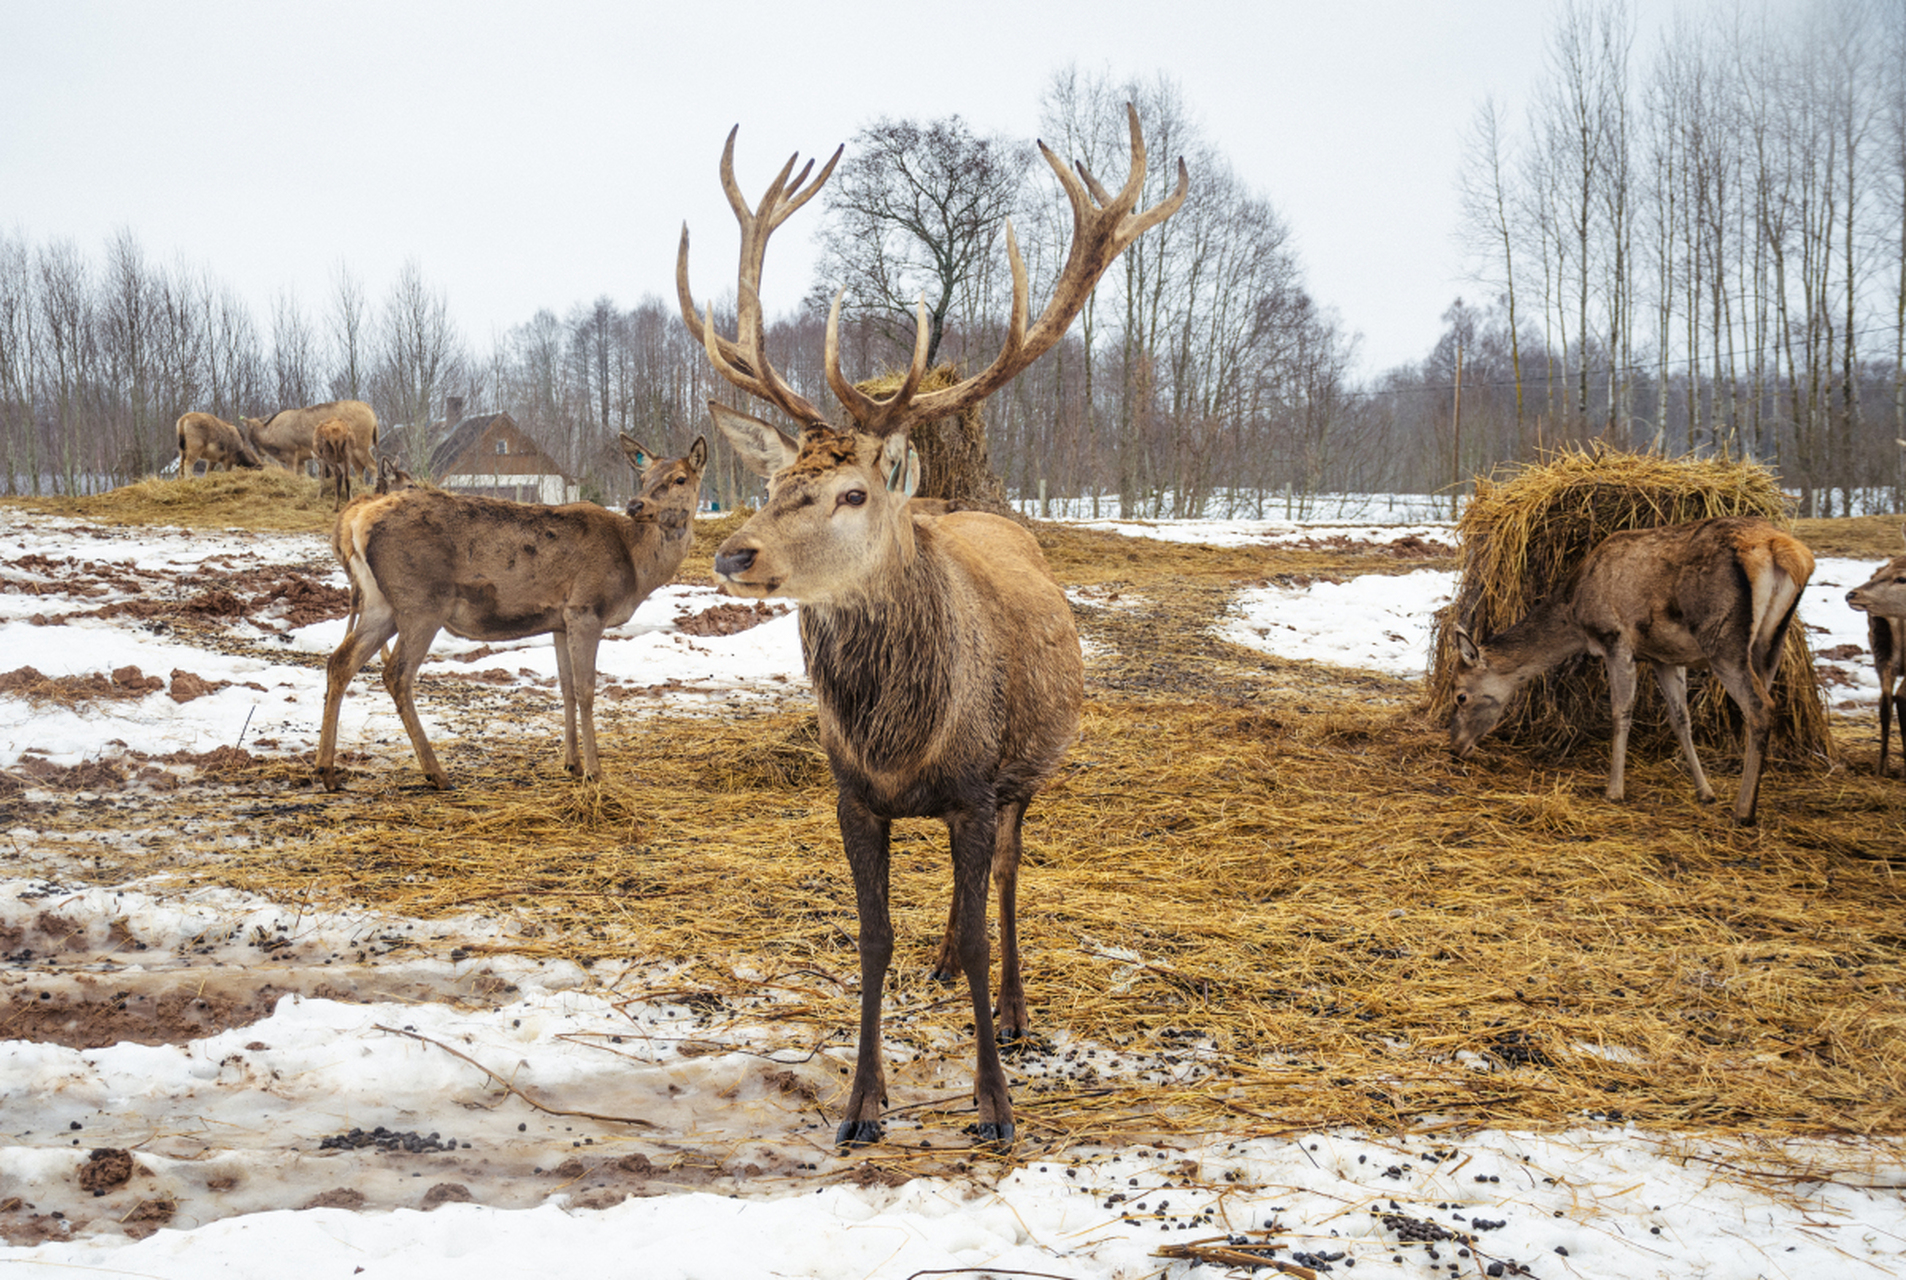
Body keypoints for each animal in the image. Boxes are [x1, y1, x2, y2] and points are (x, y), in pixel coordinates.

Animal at [320, 432, 709, 788]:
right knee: (396, 673)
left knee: (341, 660)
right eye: (644, 477)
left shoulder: (560, 620)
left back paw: (326, 771)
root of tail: (357, 521)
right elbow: (586, 689)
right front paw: (595, 772)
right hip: (422, 602)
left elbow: (566, 687)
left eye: (679, 478)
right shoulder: (586, 608)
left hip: (380, 602)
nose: (636, 505)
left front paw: (572, 764)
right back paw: (437, 773)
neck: (635, 565)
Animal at [678, 110, 1181, 1150]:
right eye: (774, 481)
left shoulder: (981, 786)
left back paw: (1016, 1010)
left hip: (1029, 771)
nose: (734, 553)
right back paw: (945, 966)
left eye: (852, 492)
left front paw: (994, 1103)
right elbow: (873, 937)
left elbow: (988, 921)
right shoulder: (851, 794)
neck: (902, 741)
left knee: (1009, 884)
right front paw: (861, 1104)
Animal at [1448, 514, 1806, 826]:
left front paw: (1614, 791)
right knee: (1759, 704)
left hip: (1723, 639)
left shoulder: (1614, 637)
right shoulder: (1664, 656)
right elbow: (1680, 718)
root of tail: (1787, 551)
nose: (1455, 748)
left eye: (1460, 696)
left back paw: (1744, 811)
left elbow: (1621, 711)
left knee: (1760, 707)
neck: (1575, 612)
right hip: (1771, 642)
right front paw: (1705, 792)